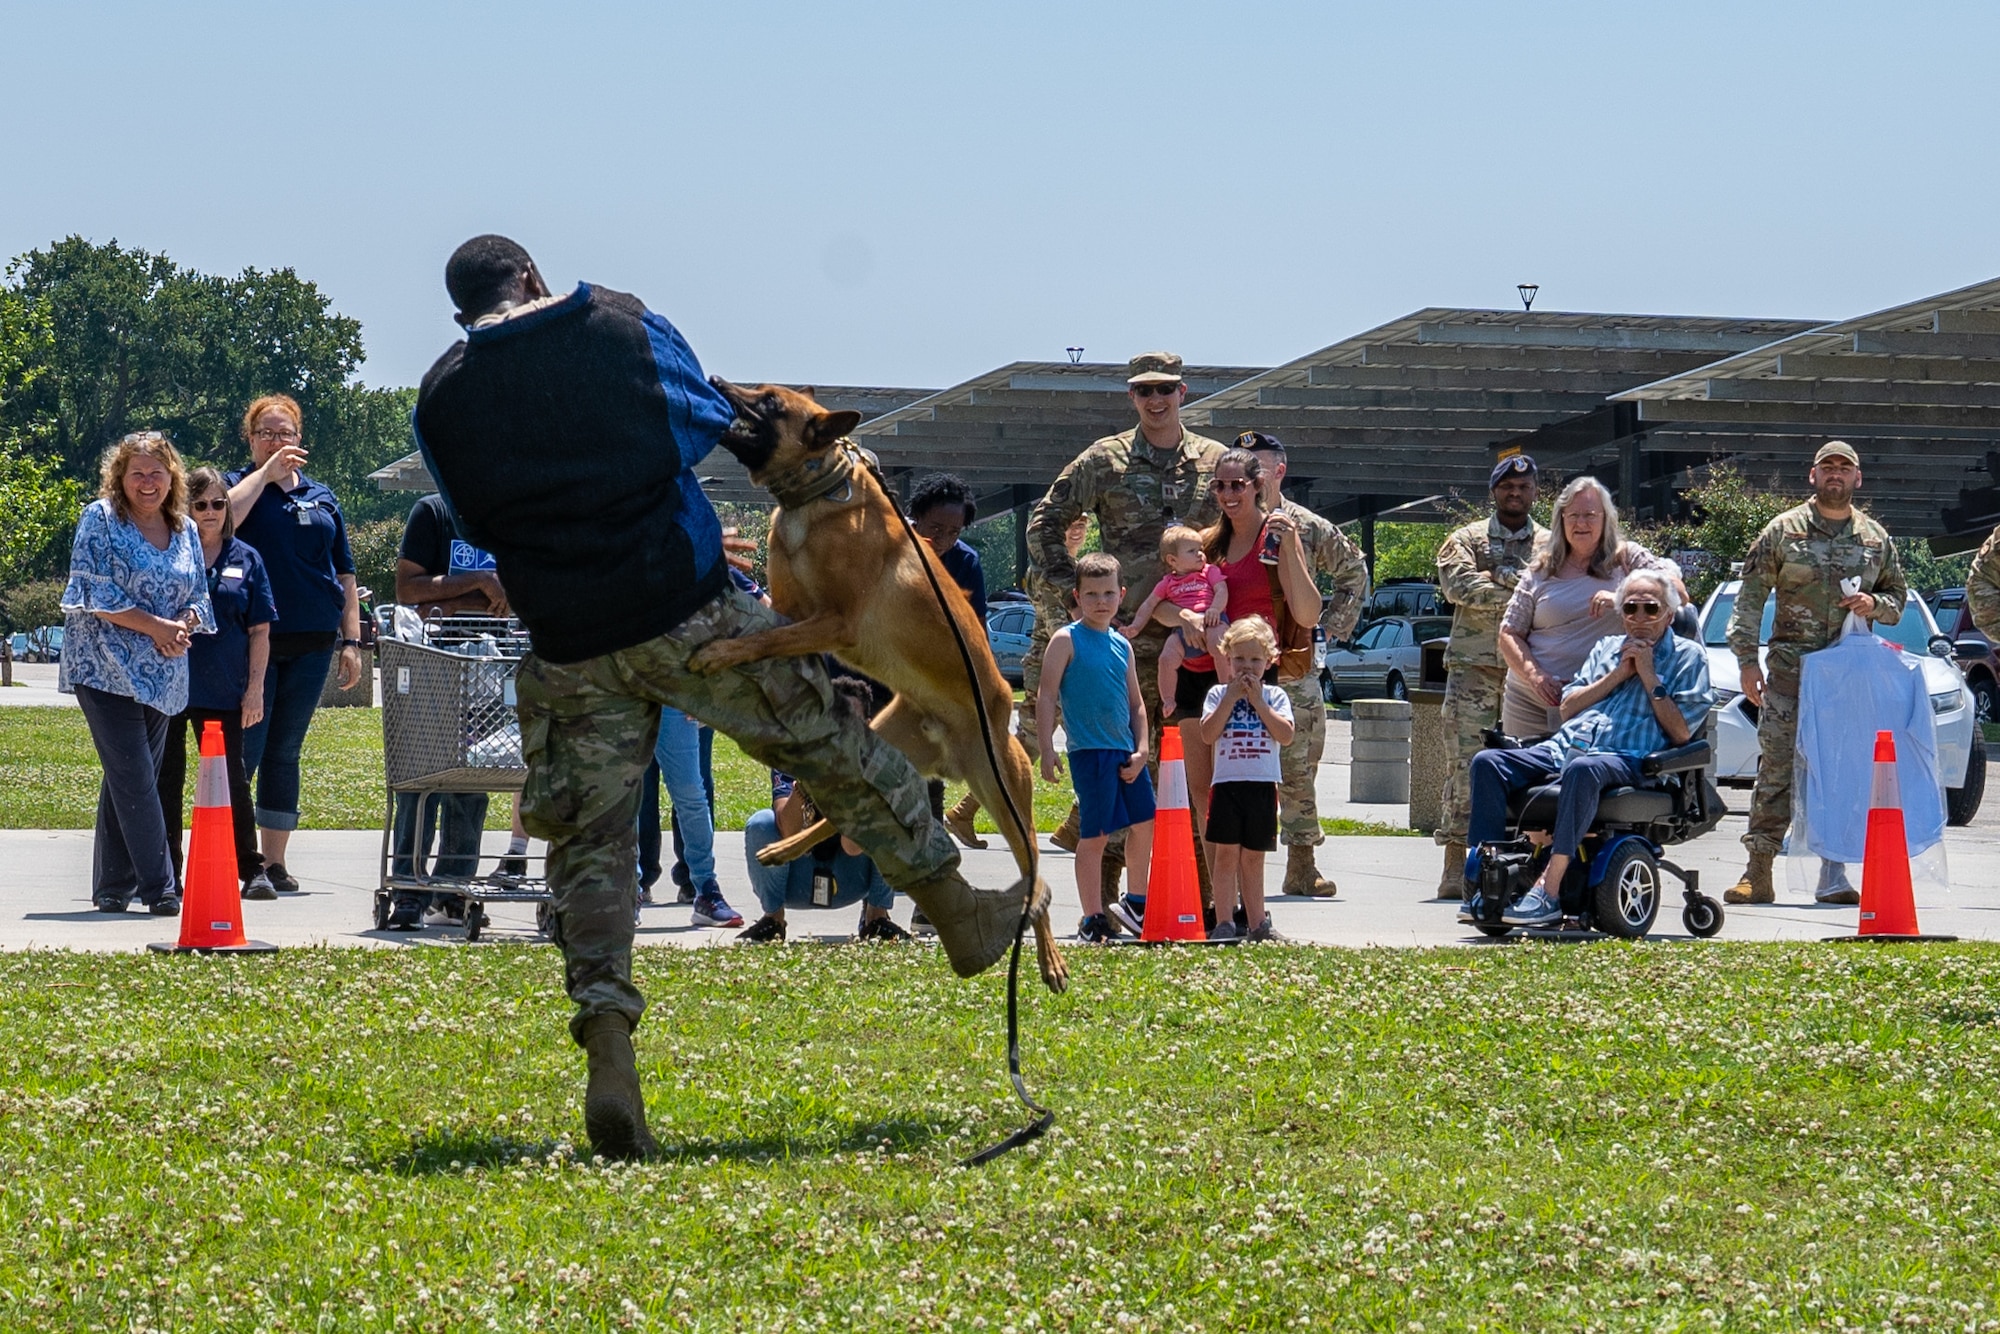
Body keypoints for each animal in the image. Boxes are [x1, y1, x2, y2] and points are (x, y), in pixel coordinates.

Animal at [696, 376, 1072, 992]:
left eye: (770, 401)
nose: (715, 382)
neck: (816, 494)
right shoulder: (788, 608)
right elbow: (767, 628)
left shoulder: (830, 621)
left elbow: (765, 640)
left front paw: (723, 651)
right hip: (885, 748)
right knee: (835, 817)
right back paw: (782, 847)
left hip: (1008, 804)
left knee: (1034, 886)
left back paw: (1051, 962)